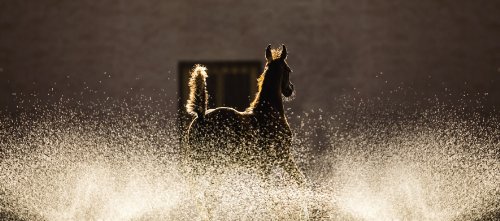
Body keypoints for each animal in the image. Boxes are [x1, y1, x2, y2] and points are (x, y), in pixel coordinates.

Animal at [184, 44, 304, 184]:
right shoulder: (282, 155)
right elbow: (300, 179)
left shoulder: (265, 162)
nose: (290, 89)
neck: (269, 111)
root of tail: (201, 116)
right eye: (288, 70)